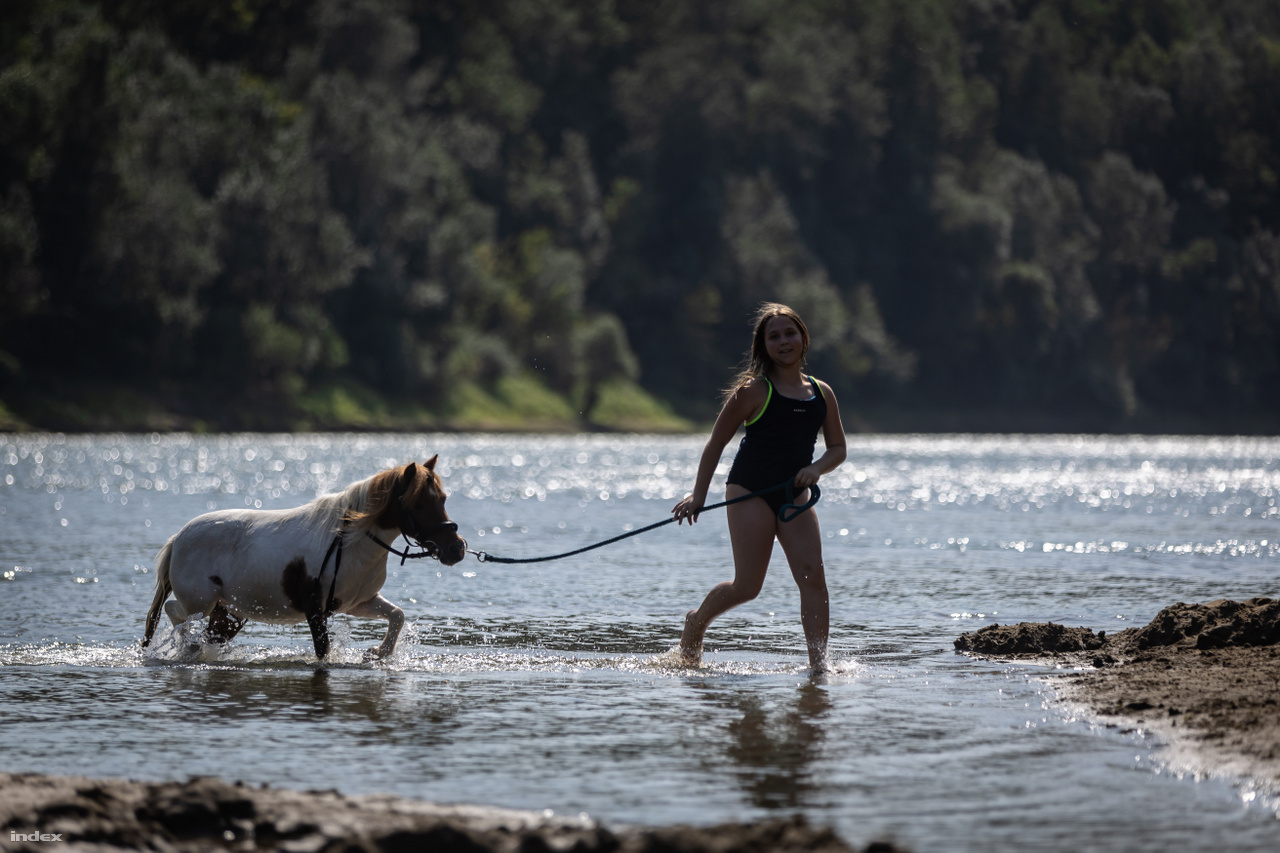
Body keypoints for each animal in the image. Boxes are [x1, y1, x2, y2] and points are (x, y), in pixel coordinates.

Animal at [145, 458, 465, 655]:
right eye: (419, 504)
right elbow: (323, 652)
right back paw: (187, 645)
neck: (350, 543)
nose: (457, 548)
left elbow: (397, 615)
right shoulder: (315, 610)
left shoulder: (356, 603)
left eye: (443, 499)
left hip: (228, 613)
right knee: (176, 612)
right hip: (201, 603)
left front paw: (379, 653)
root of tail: (178, 539)